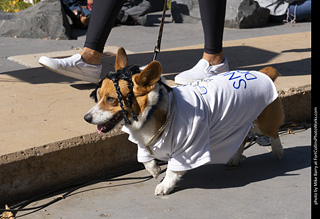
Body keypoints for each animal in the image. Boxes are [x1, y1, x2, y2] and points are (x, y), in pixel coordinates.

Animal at [84, 47, 284, 195]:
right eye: (98, 96)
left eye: (111, 99)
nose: (86, 118)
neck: (153, 111)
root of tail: (261, 73)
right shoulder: (143, 143)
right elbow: (145, 160)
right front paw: (155, 171)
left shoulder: (188, 149)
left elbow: (173, 170)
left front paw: (164, 185)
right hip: (235, 124)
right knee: (241, 140)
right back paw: (234, 158)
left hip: (264, 123)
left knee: (273, 134)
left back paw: (278, 151)